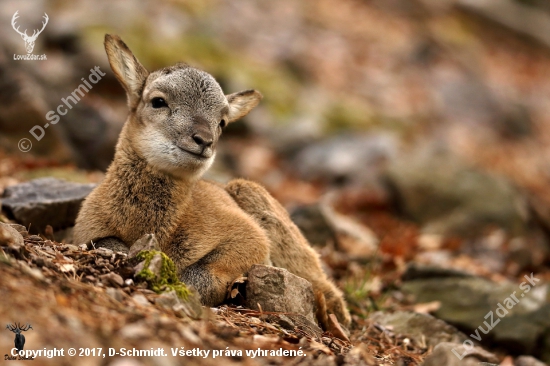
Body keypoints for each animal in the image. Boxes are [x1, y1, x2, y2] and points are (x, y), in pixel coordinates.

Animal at [73, 33, 352, 326]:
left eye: (222, 122)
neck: (156, 226)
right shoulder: (88, 229)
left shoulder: (249, 236)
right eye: (158, 101)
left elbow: (200, 274)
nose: (204, 140)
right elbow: (107, 244)